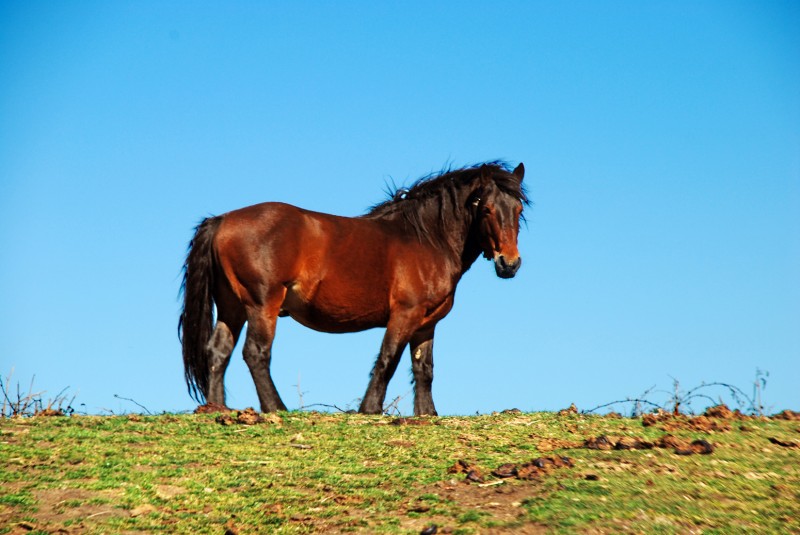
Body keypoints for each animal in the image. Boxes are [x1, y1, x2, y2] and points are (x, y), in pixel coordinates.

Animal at [182, 161, 532, 416]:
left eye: (518, 210)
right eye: (486, 209)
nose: (509, 263)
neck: (427, 239)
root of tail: (222, 220)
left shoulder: (427, 323)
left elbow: (424, 369)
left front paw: (427, 414)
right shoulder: (405, 314)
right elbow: (388, 359)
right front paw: (370, 409)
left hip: (232, 307)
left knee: (219, 351)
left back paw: (216, 408)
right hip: (262, 304)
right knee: (256, 353)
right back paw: (275, 408)